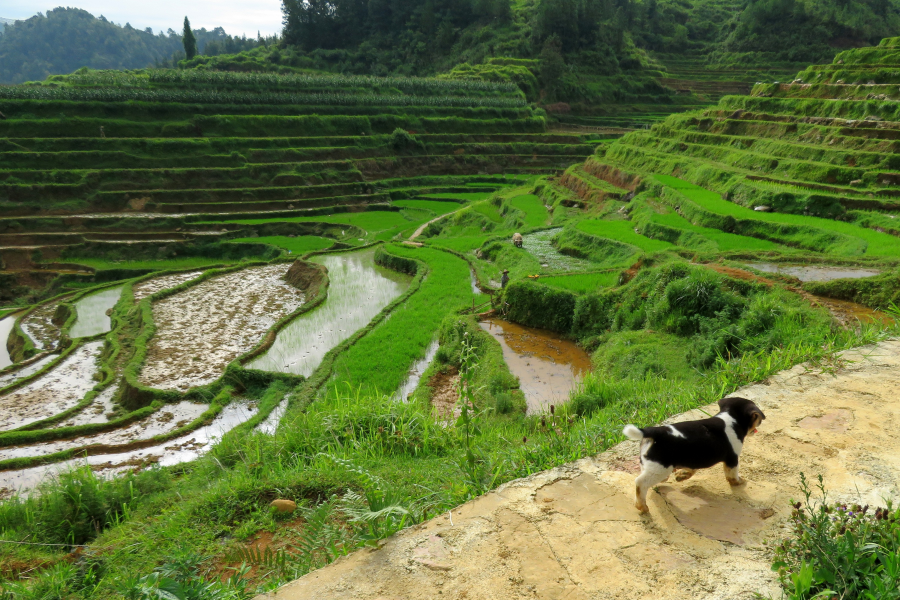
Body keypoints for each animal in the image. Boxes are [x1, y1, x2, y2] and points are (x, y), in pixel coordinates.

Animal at [624, 398, 768, 510]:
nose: (761, 422)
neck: (731, 419)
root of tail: (654, 432)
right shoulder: (732, 459)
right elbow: (732, 475)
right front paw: (739, 482)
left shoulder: (694, 457)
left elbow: (691, 469)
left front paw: (682, 475)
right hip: (661, 469)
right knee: (640, 482)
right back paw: (641, 506)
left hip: (652, 465)